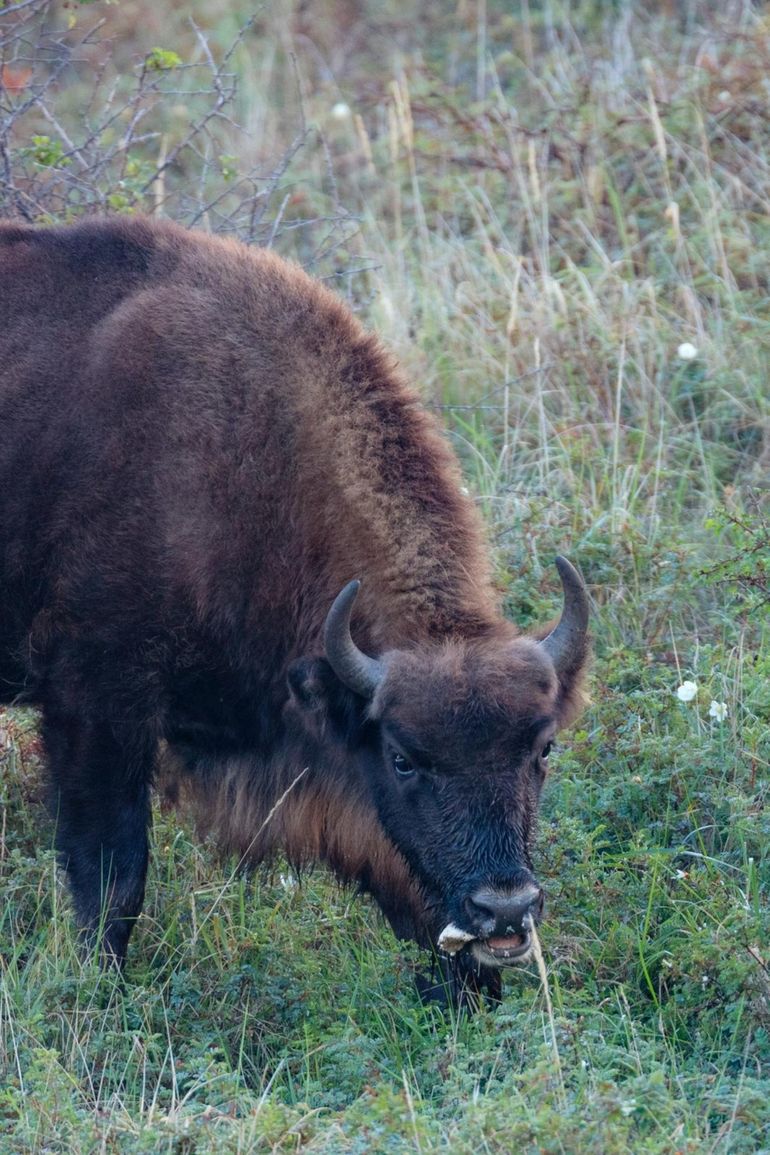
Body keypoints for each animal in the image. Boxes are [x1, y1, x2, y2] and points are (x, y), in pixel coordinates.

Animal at [1, 214, 591, 1002]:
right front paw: (103, 995)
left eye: (543, 748)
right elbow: (114, 877)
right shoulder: (96, 707)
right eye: (403, 758)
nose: (504, 909)